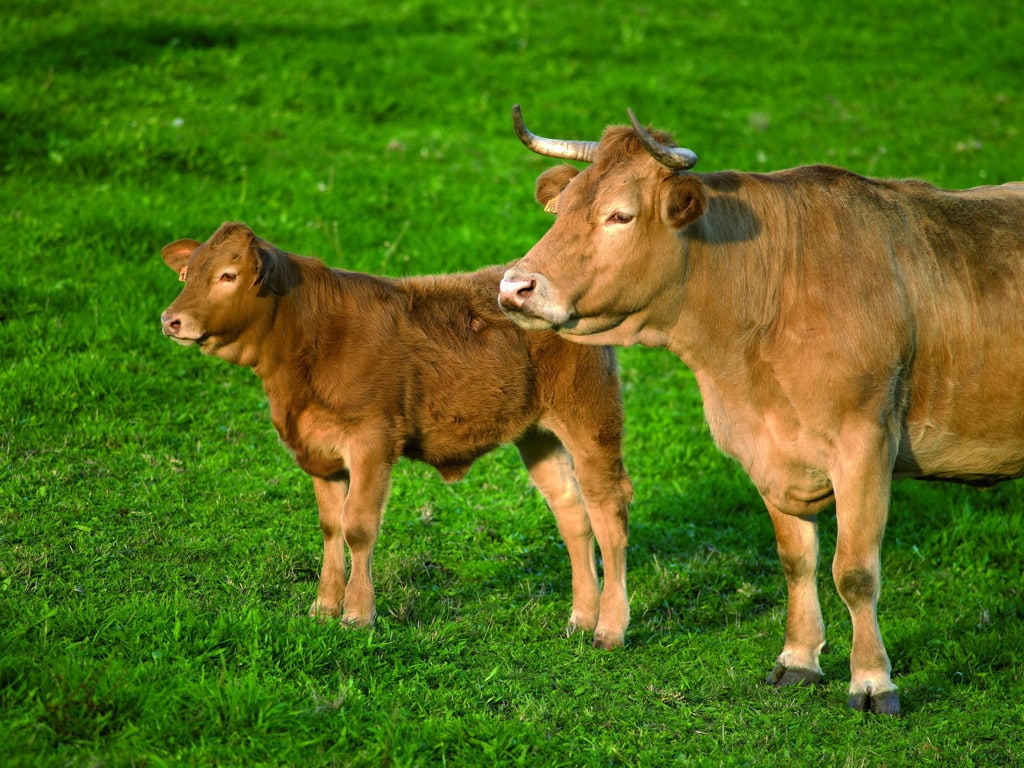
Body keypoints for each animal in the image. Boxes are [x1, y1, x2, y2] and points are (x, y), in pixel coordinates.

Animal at [158, 221, 630, 651]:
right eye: (187, 274)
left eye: (227, 275)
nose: (170, 320)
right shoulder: (319, 451)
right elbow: (330, 526)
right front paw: (323, 607)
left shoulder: (372, 441)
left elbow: (358, 527)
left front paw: (356, 614)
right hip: (538, 436)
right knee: (572, 512)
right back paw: (580, 619)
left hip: (591, 420)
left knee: (609, 513)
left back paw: (609, 629)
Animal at [499, 103, 1024, 716]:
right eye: (560, 209)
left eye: (620, 216)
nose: (514, 287)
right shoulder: (767, 448)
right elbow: (796, 558)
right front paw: (799, 659)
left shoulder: (865, 440)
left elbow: (855, 571)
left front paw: (873, 681)